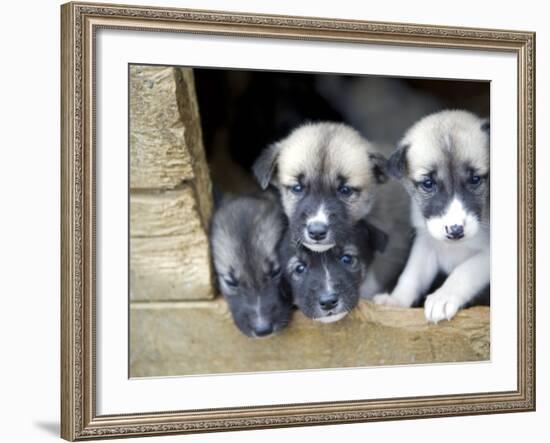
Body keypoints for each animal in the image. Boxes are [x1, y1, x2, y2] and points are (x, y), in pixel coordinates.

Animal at [376, 109, 492, 324]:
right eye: (428, 183)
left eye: (475, 179)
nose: (455, 231)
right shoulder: (426, 244)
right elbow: (411, 275)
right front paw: (396, 300)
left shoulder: (486, 255)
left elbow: (464, 271)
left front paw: (443, 297)